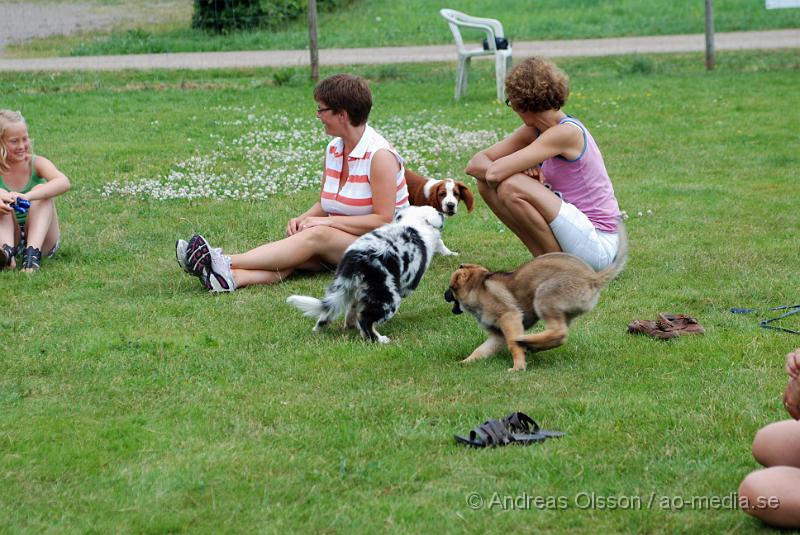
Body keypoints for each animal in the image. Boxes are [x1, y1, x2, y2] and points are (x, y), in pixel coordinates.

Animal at [444, 224, 624, 370]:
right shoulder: (498, 335)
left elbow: (513, 346)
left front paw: (518, 366)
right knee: (559, 335)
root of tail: (592, 278)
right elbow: (480, 350)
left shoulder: (510, 318)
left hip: (544, 295)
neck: (478, 288)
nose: (445, 295)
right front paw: (464, 362)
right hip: (563, 311)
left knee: (558, 332)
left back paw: (526, 340)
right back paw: (533, 344)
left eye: (451, 287)